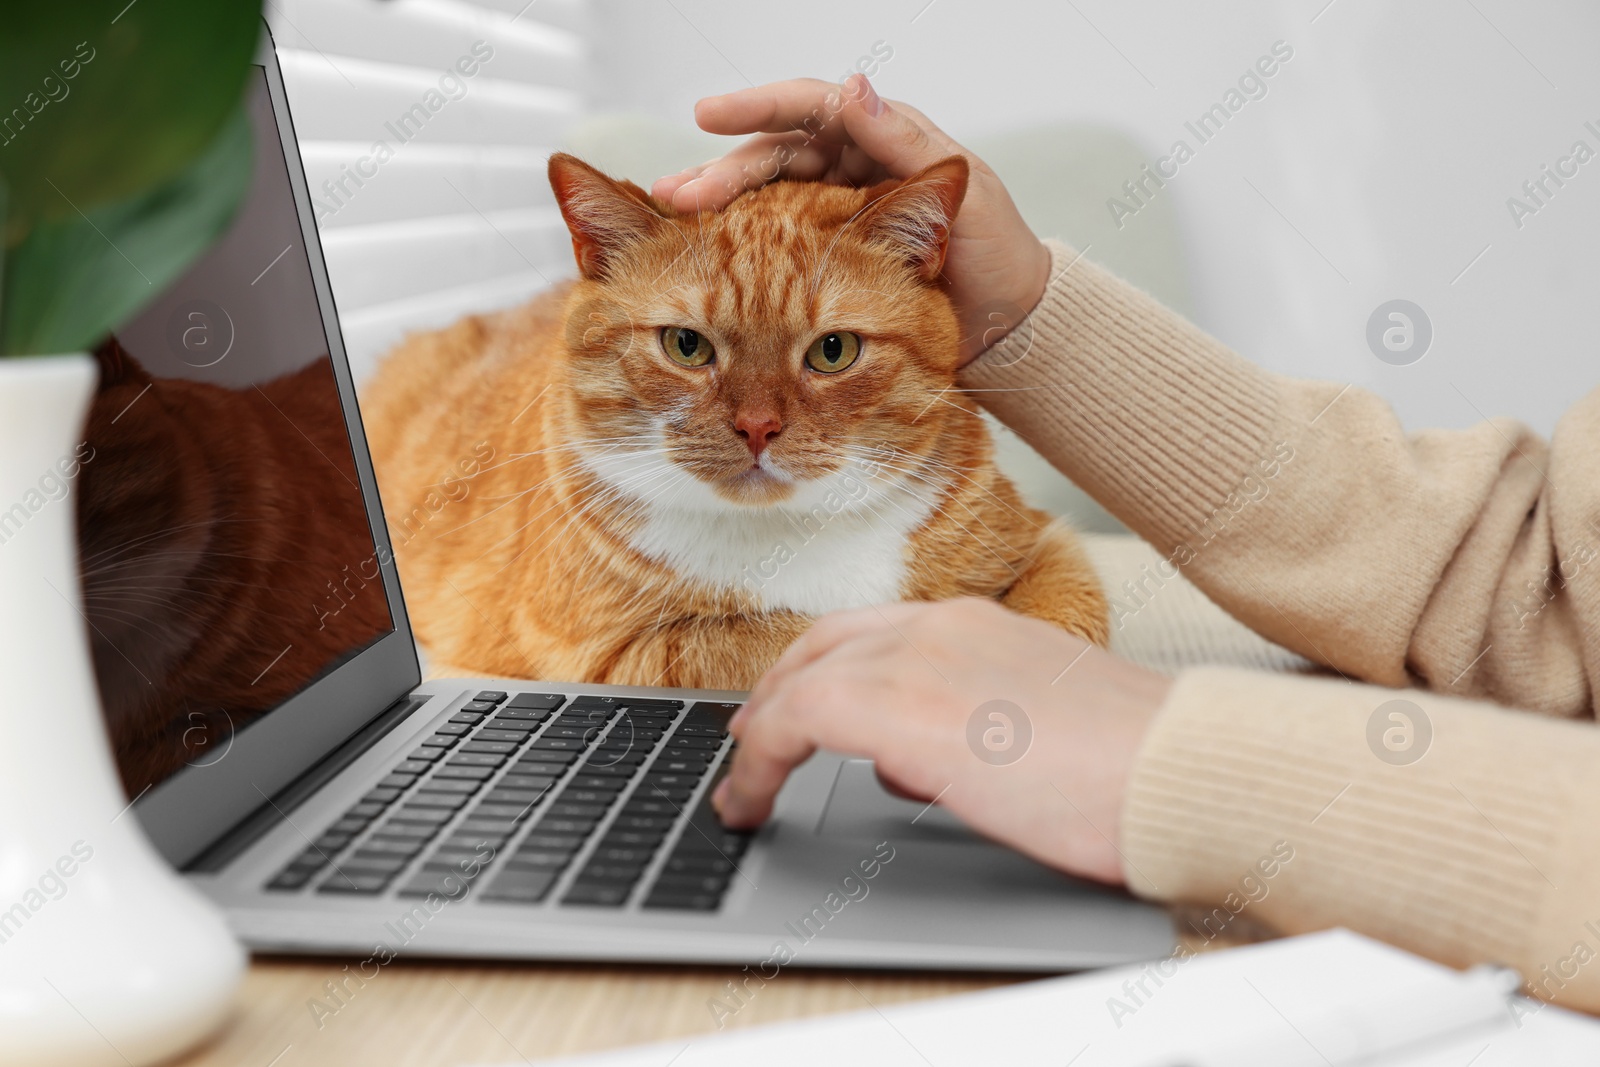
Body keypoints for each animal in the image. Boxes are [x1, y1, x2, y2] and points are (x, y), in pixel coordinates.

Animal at [364, 154, 1107, 687]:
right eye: (686, 345)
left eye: (833, 351)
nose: (756, 428)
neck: (798, 531)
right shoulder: (609, 653)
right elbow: (782, 641)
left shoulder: (1044, 545)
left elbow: (1061, 628)